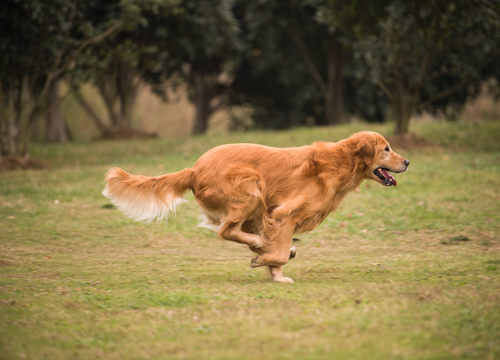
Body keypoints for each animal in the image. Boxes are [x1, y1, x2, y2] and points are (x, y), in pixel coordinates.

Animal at [103, 131, 408, 282]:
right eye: (386, 148)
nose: (407, 162)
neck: (341, 162)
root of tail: (195, 169)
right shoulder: (283, 213)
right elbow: (279, 252)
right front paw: (269, 263)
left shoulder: (275, 217)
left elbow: (279, 250)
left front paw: (274, 272)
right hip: (251, 185)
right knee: (227, 231)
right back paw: (261, 247)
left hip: (255, 205)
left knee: (238, 231)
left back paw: (262, 246)